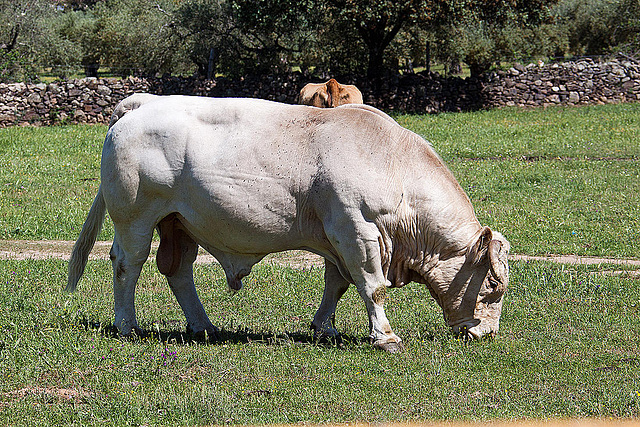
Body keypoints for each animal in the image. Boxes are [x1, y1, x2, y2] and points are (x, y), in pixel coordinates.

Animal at [69, 95, 510, 352]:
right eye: (492, 285)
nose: (486, 335)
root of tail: (142, 103)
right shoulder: (358, 230)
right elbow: (372, 286)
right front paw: (385, 337)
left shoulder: (338, 236)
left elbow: (338, 283)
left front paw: (324, 329)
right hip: (136, 218)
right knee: (127, 264)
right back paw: (127, 325)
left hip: (179, 223)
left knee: (178, 270)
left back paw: (203, 326)